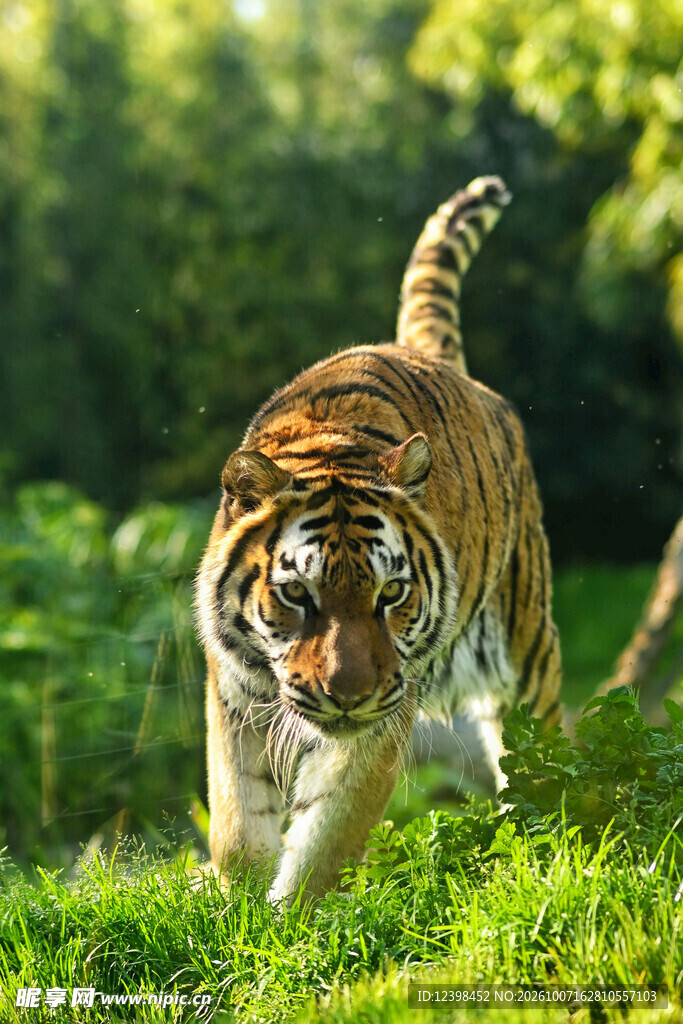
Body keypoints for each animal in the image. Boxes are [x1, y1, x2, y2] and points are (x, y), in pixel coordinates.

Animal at [195, 176, 562, 903]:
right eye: (296, 595)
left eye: (390, 594)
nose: (349, 694)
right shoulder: (233, 691)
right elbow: (236, 818)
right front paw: (237, 904)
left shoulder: (382, 713)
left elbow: (329, 827)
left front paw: (289, 919)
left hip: (526, 646)